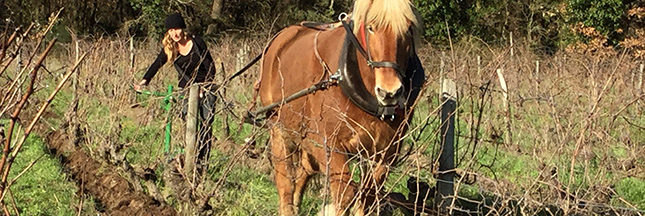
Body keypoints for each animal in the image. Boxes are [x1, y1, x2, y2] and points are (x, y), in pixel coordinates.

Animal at [256, 0, 422, 214]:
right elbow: (345, 193)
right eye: (371, 27)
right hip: (279, 128)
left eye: (408, 29)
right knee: (285, 179)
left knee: (304, 172)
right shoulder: (330, 145)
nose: (390, 92)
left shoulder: (386, 152)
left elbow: (367, 195)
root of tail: (282, 36)